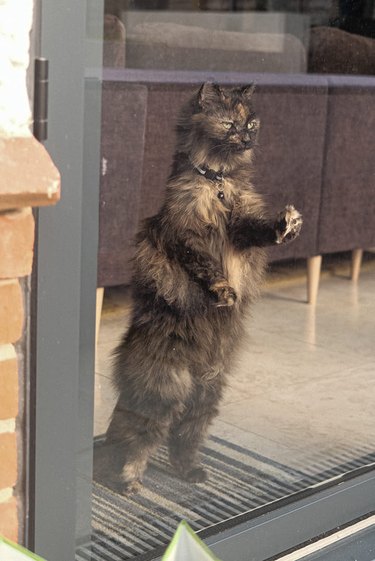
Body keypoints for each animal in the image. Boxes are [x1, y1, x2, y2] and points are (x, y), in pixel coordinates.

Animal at [104, 81, 304, 492]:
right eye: (228, 123)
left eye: (252, 122)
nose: (246, 137)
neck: (218, 181)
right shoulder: (186, 235)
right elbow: (207, 267)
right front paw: (224, 291)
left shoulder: (243, 228)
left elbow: (261, 229)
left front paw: (287, 225)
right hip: (165, 389)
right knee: (138, 438)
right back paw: (127, 481)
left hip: (207, 393)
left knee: (183, 437)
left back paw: (191, 473)